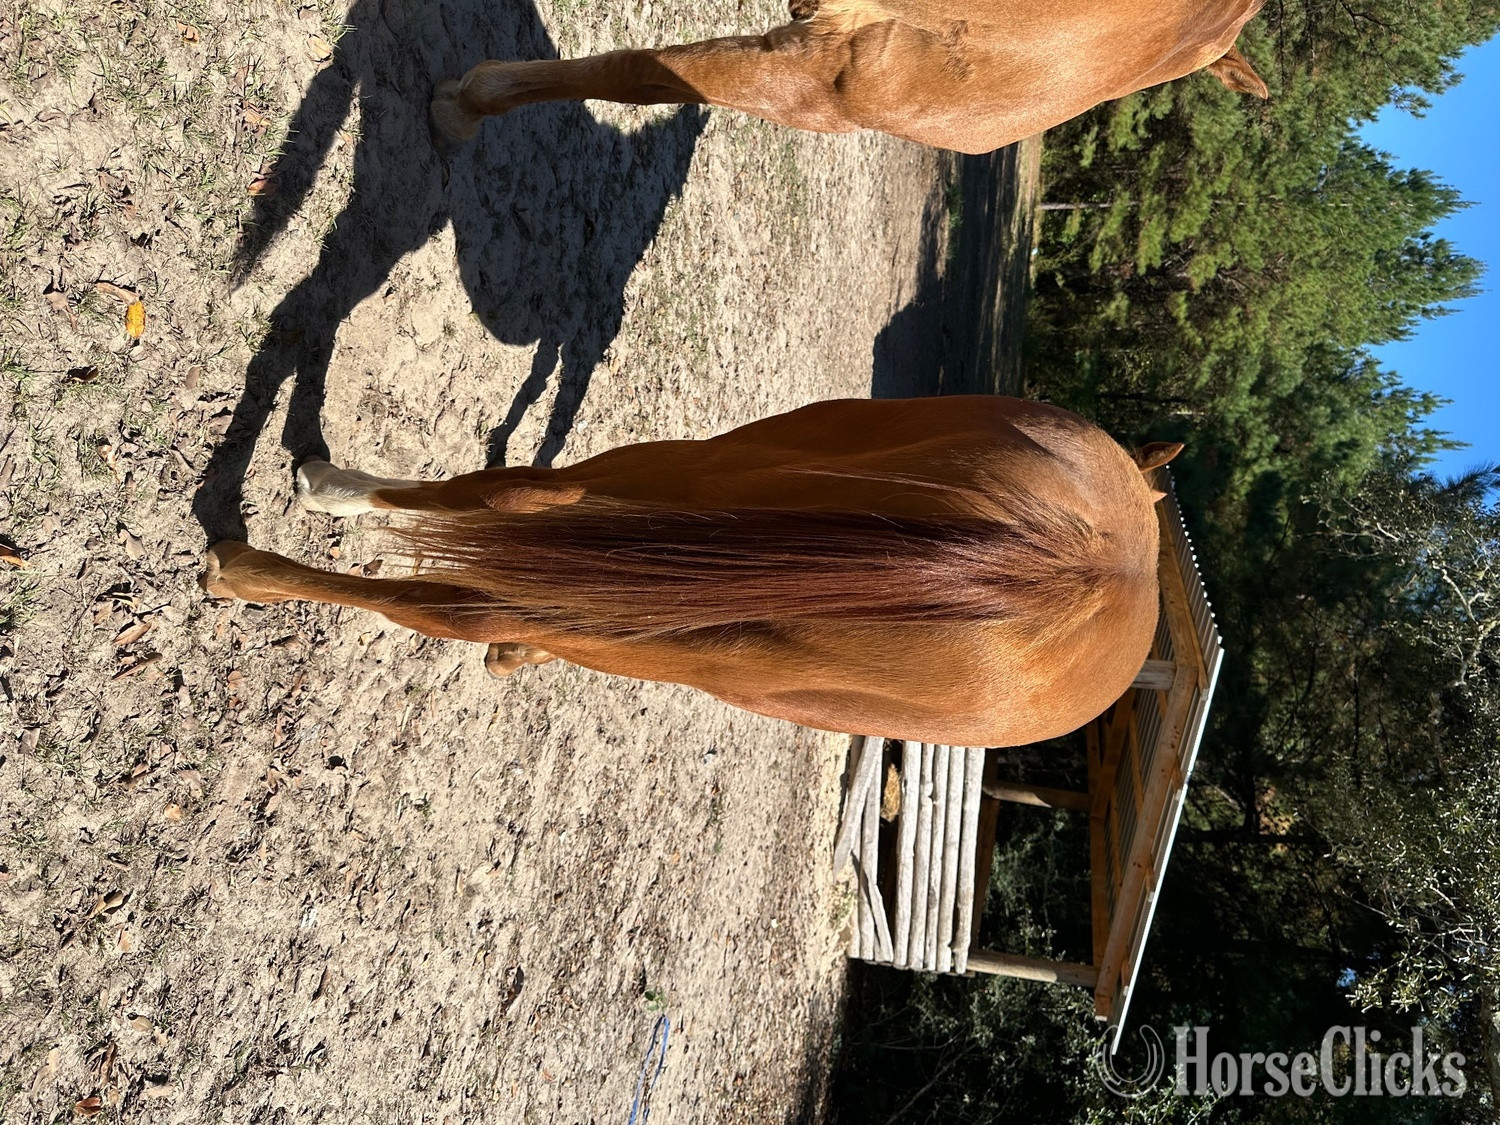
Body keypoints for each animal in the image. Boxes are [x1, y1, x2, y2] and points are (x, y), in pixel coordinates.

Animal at [201, 397, 1181, 745]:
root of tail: (1082, 568)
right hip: (707, 499)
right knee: (520, 515)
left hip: (699, 589)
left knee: (504, 538)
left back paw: (255, 558)